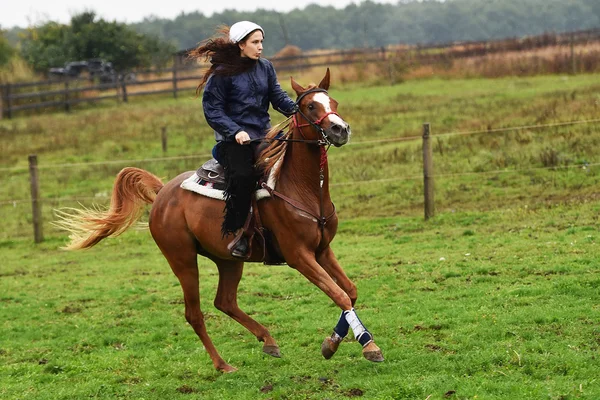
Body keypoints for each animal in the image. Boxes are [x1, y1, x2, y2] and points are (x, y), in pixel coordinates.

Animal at [57, 69, 384, 372]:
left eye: (334, 102)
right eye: (310, 107)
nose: (340, 129)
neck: (301, 188)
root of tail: (162, 193)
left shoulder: (322, 249)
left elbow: (350, 291)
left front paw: (332, 342)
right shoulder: (299, 256)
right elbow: (339, 294)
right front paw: (368, 345)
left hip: (227, 260)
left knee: (224, 302)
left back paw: (268, 340)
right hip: (182, 259)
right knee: (195, 313)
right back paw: (222, 364)